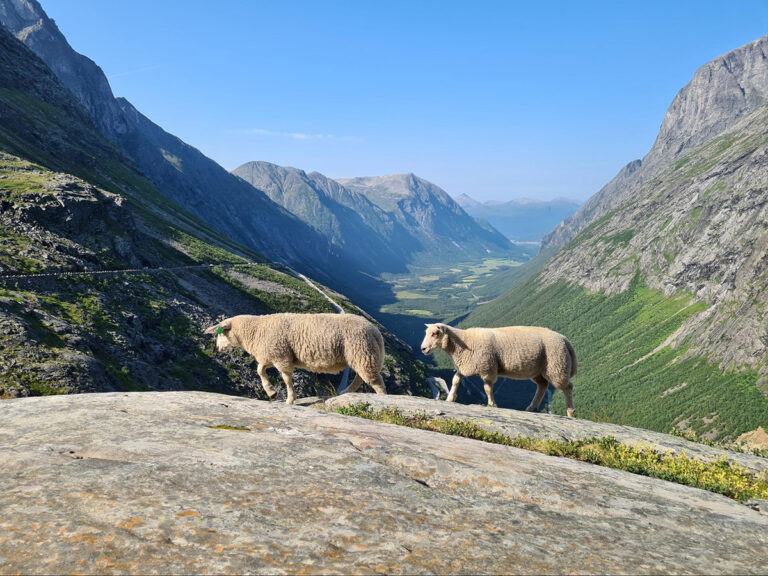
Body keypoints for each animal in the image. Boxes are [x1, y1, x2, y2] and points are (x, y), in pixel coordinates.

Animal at [204, 312, 388, 402]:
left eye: (220, 333)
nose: (217, 348)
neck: (256, 331)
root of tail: (375, 331)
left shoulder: (281, 357)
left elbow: (286, 380)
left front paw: (289, 399)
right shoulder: (271, 355)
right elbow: (259, 370)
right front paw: (271, 392)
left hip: (362, 352)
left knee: (376, 382)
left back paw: (383, 401)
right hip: (362, 355)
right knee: (360, 378)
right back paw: (345, 392)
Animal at [420, 324, 576, 414]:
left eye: (435, 333)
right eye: (426, 332)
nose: (423, 349)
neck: (463, 343)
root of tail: (565, 339)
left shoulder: (487, 367)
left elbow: (487, 388)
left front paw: (492, 404)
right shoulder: (465, 366)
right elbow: (455, 380)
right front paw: (450, 398)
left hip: (556, 365)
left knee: (567, 387)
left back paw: (570, 412)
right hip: (537, 369)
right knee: (542, 385)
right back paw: (532, 407)